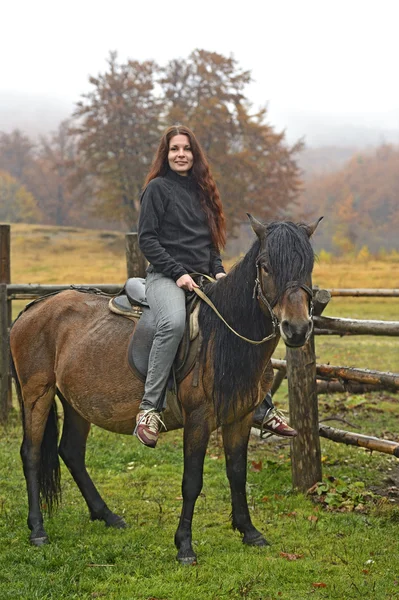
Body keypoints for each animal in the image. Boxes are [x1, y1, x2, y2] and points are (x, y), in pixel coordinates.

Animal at [9, 216, 322, 564]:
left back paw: (106, 515)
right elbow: (192, 481)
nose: (297, 329)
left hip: (77, 401)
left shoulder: (239, 418)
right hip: (37, 393)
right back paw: (38, 529)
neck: (222, 336)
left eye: (308, 265)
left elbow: (237, 472)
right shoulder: (198, 419)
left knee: (72, 452)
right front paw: (184, 545)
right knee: (32, 453)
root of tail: (33, 307)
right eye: (265, 265)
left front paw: (249, 531)